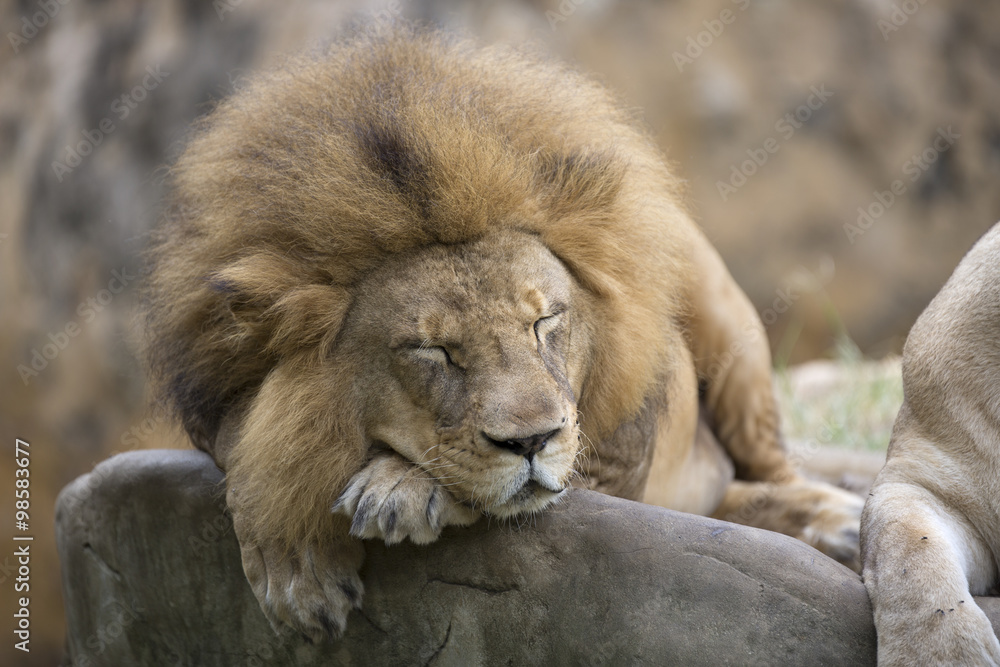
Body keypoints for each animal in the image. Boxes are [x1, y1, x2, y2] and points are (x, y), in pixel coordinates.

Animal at [143, 25, 864, 641]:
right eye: (433, 350)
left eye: (543, 321)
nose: (532, 442)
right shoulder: (221, 383)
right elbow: (248, 455)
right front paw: (295, 560)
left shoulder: (607, 457)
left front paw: (400, 490)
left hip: (728, 325)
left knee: (775, 471)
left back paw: (840, 524)